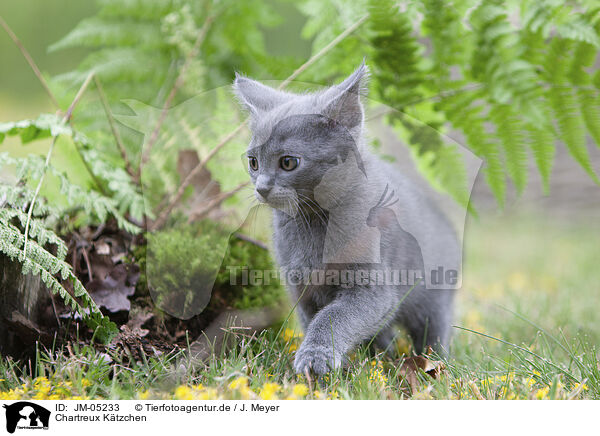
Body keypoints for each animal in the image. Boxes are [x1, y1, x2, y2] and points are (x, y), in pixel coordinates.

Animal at [234, 63, 460, 372]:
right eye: (253, 162)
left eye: (288, 162)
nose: (262, 187)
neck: (313, 222)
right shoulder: (301, 289)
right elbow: (315, 318)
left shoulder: (374, 287)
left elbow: (335, 316)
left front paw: (315, 356)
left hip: (435, 293)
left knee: (433, 330)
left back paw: (433, 362)